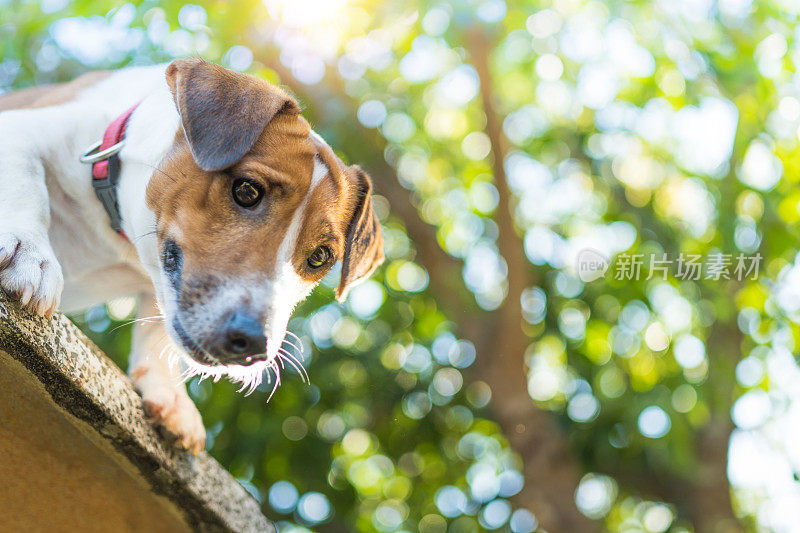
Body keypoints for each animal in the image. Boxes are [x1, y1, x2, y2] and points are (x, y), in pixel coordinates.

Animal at [0, 59, 384, 454]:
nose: (251, 343)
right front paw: (30, 254)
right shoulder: (22, 129)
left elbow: (156, 325)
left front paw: (168, 392)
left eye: (320, 256)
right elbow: (27, 179)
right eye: (247, 190)